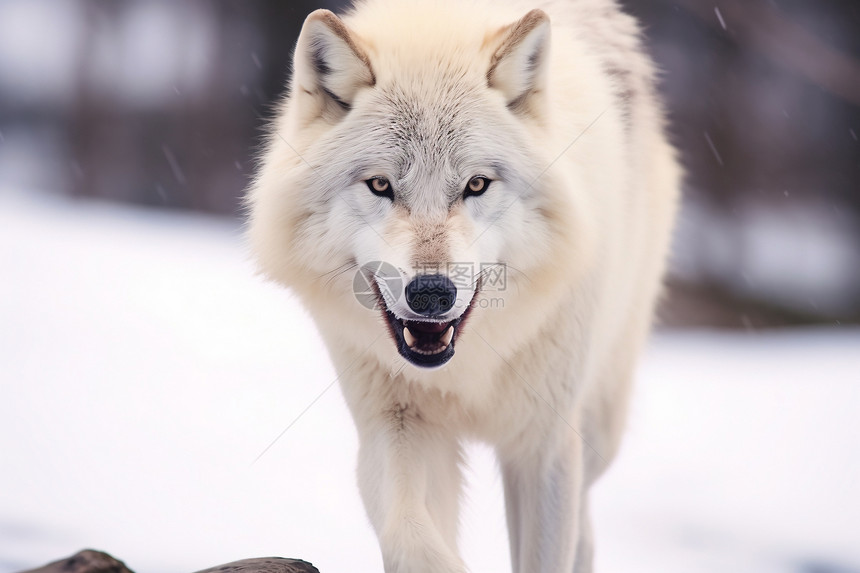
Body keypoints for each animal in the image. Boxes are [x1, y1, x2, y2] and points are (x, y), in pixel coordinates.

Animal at [247, 0, 680, 568]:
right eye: (381, 185)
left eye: (476, 184)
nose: (431, 294)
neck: (466, 369)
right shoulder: (395, 425)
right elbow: (411, 537)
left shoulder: (544, 448)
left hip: (599, 423)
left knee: (584, 527)